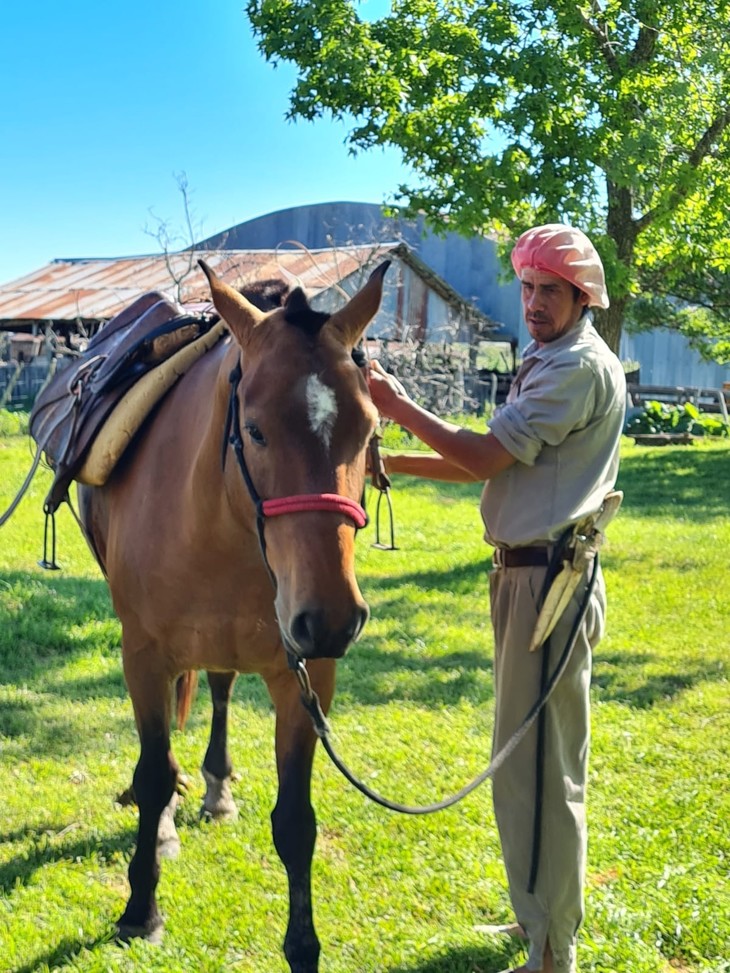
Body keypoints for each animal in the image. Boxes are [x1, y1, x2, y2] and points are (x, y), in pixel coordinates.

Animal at [77, 258, 390, 972]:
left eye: (369, 432)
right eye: (255, 429)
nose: (330, 619)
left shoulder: (304, 678)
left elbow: (296, 821)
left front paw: (304, 947)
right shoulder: (143, 656)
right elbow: (153, 773)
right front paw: (141, 909)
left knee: (218, 689)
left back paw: (217, 787)